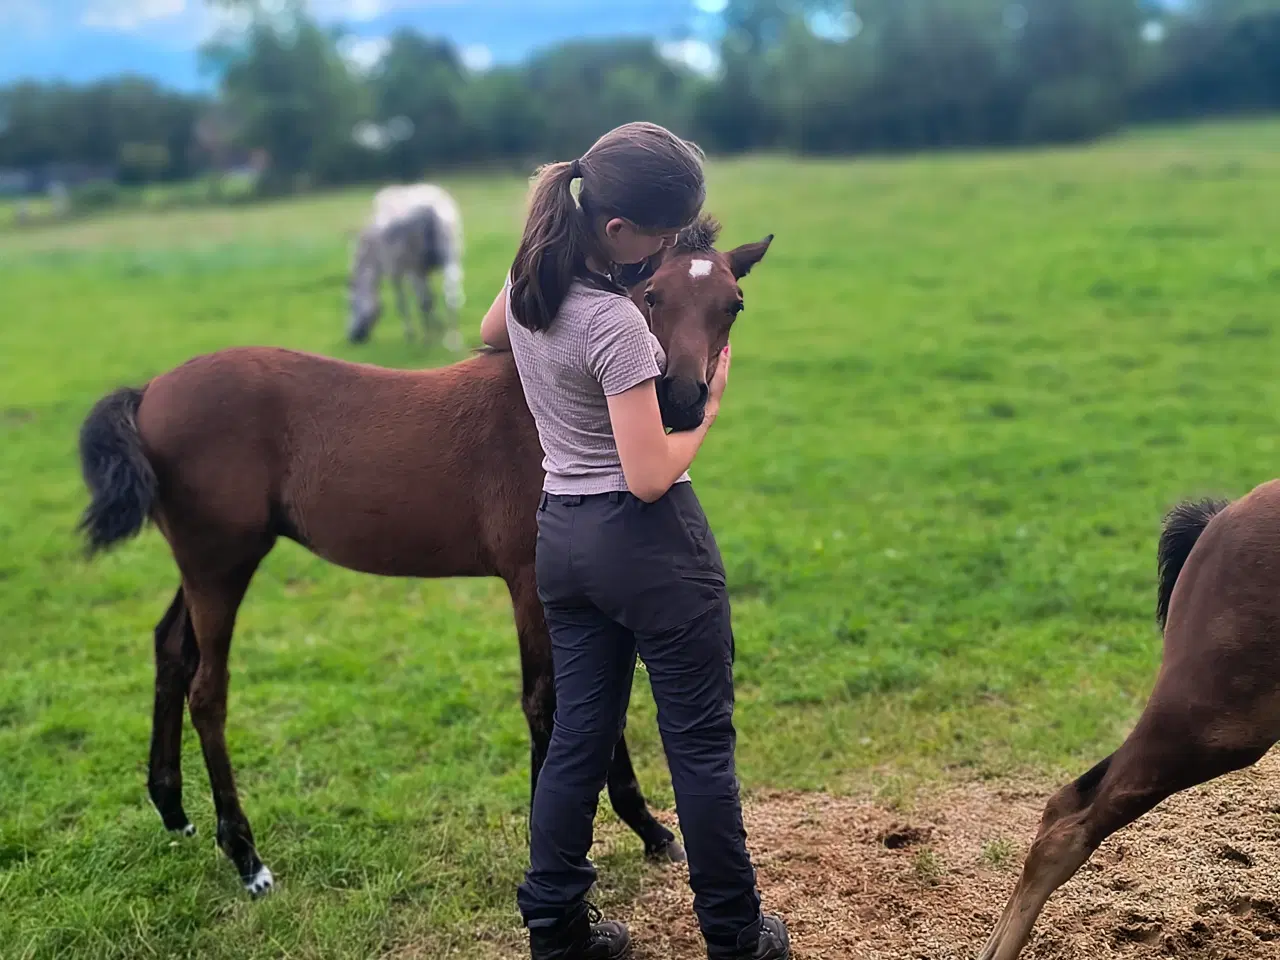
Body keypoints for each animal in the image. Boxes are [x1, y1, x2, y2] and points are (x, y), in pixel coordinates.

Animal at [75, 215, 774, 897]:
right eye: (652, 296)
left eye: (733, 305)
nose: (681, 399)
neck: (555, 409)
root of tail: (147, 392)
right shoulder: (531, 581)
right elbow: (549, 701)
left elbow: (600, 703)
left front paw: (649, 829)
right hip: (219, 564)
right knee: (207, 691)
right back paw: (247, 857)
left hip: (207, 563)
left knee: (170, 648)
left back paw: (173, 808)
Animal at [347, 183, 466, 350]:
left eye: (350, 304)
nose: (352, 337)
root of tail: (431, 209)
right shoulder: (420, 272)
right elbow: (432, 298)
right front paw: (439, 326)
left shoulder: (396, 272)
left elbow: (403, 302)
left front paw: (410, 333)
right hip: (450, 259)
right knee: (452, 295)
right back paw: (453, 338)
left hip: (415, 269)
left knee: (425, 300)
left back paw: (429, 339)